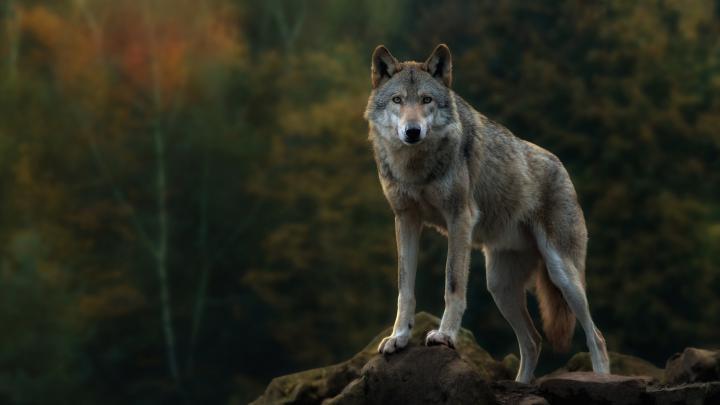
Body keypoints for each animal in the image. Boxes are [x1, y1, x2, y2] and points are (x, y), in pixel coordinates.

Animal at [363, 44, 610, 383]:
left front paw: (445, 335)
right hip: (499, 286)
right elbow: (405, 288)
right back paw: (520, 383)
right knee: (533, 341)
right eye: (398, 100)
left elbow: (453, 284)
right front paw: (399, 337)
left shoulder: (459, 218)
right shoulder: (405, 220)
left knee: (595, 336)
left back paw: (602, 378)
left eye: (426, 100)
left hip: (563, 274)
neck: (416, 167)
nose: (412, 131)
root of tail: (562, 168)